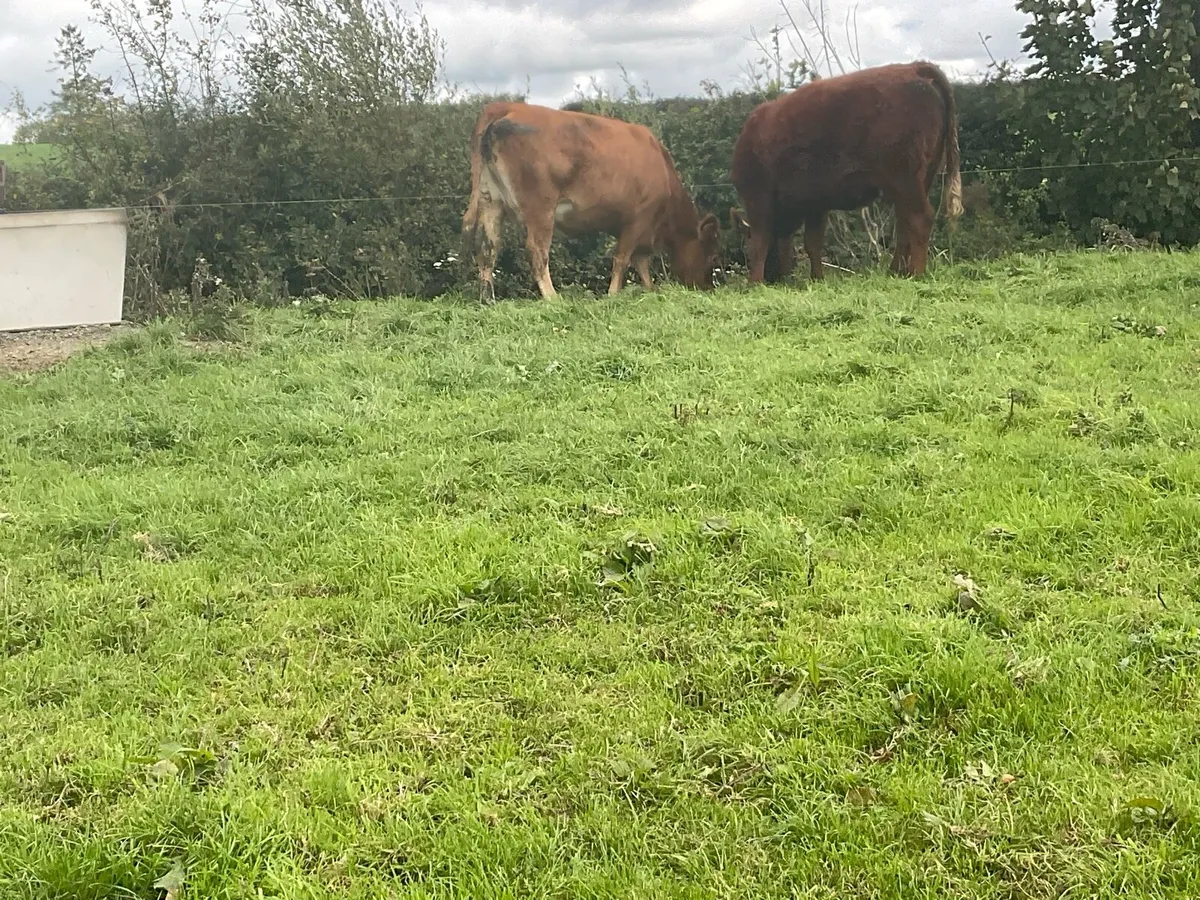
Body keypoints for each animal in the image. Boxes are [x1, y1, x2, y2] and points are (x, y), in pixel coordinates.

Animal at [461, 101, 721, 303]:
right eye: (712, 256)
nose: (707, 288)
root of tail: (508, 106)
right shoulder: (638, 219)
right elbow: (623, 258)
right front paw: (613, 294)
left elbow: (641, 261)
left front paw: (649, 289)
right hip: (541, 209)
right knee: (536, 251)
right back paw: (553, 298)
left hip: (491, 199)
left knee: (487, 246)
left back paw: (487, 299)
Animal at [730, 61, 964, 285]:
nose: (773, 277)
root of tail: (915, 68)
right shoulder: (816, 204)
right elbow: (812, 242)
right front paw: (817, 278)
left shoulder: (758, 197)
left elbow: (760, 241)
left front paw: (754, 283)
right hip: (917, 180)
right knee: (905, 222)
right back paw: (896, 271)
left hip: (905, 179)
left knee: (919, 218)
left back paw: (916, 274)